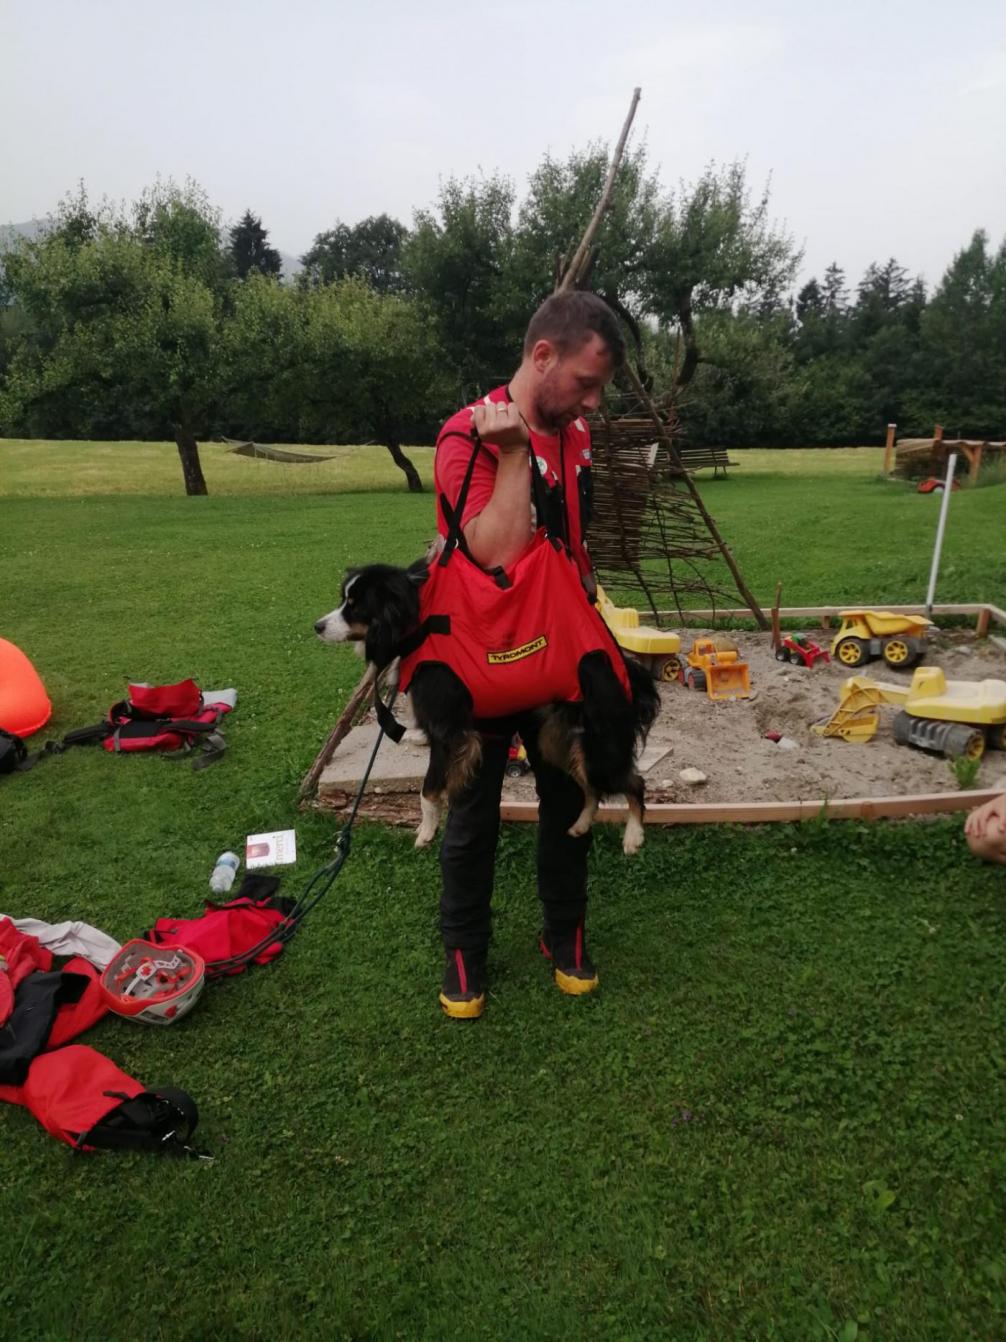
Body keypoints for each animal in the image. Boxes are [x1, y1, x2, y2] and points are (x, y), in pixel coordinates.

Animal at [316, 560, 662, 853]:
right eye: (344, 599)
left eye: (356, 605)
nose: (317, 626)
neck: (418, 622)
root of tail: (623, 670)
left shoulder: (447, 729)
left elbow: (428, 790)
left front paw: (426, 832)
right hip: (556, 742)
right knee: (591, 790)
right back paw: (580, 825)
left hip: (598, 746)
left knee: (634, 783)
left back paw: (633, 836)